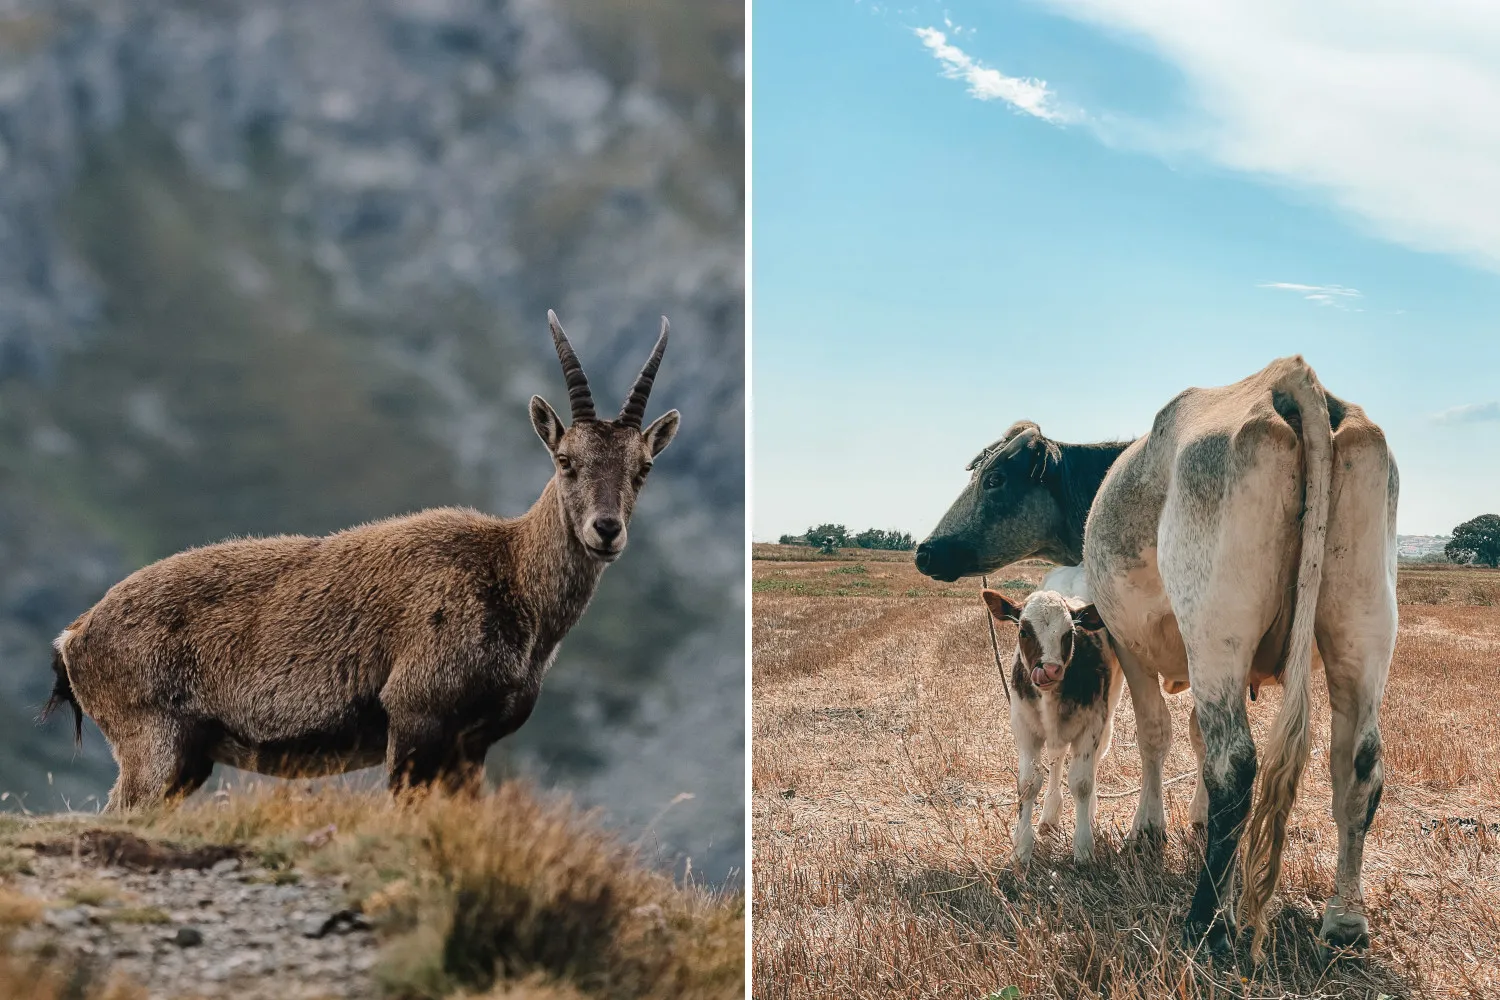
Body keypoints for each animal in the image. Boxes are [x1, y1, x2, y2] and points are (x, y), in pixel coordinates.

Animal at [981, 589, 1123, 865]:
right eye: (1024, 631)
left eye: (1069, 633)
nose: (1049, 669)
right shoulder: (1024, 727)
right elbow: (1028, 784)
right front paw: (1021, 848)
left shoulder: (1092, 725)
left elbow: (1082, 782)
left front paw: (1083, 846)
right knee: (1056, 759)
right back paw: (1049, 815)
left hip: (1108, 715)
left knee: (1093, 761)